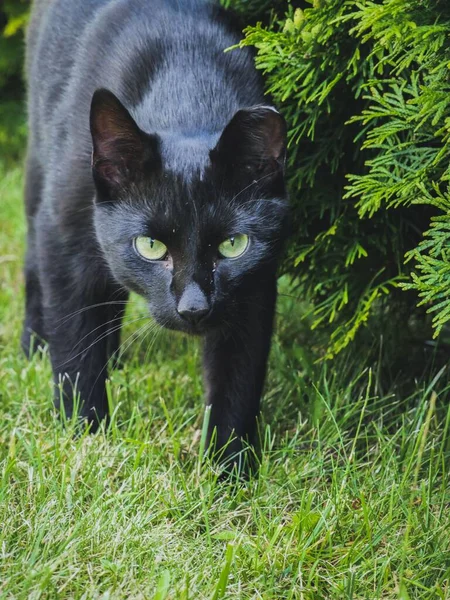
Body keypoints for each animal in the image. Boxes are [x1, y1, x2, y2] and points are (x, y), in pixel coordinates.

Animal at [23, 0, 288, 468]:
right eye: (150, 247)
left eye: (232, 245)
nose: (194, 308)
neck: (186, 85)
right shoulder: (64, 239)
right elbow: (76, 350)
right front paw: (84, 438)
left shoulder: (255, 281)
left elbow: (238, 377)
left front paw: (228, 468)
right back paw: (35, 345)